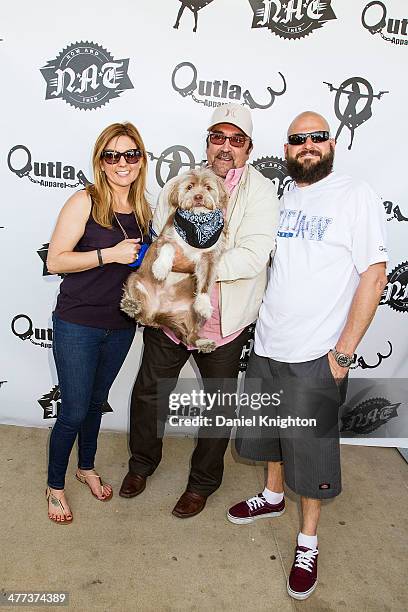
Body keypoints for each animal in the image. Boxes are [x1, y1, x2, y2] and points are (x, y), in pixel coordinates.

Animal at [121, 169, 230, 354]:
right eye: (190, 186)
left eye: (208, 187)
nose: (199, 197)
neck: (196, 225)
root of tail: (155, 314)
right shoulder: (164, 238)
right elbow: (168, 248)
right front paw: (161, 268)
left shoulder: (209, 257)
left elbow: (206, 281)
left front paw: (204, 303)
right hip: (135, 280)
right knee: (138, 313)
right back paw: (131, 305)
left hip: (190, 313)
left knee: (190, 336)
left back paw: (202, 342)